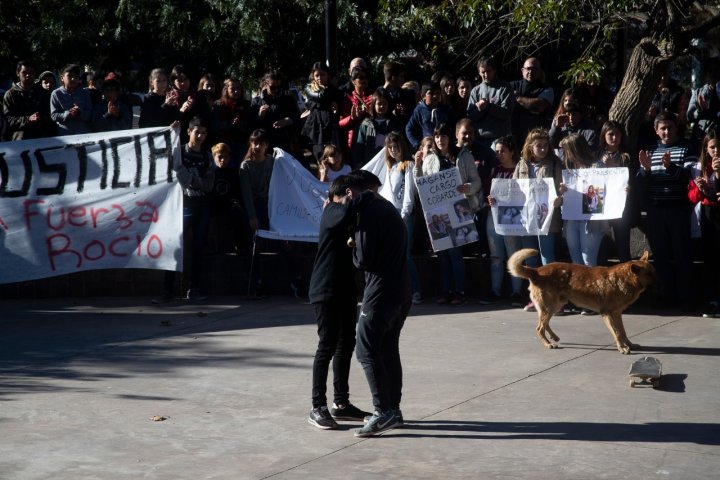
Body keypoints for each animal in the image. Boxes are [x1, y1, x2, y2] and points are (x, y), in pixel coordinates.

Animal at [510, 249, 656, 354]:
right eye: (648, 274)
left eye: (653, 272)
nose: (660, 283)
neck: (622, 279)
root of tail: (536, 270)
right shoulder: (607, 314)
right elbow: (617, 333)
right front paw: (622, 348)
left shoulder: (617, 314)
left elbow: (623, 332)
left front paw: (629, 344)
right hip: (550, 306)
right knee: (539, 328)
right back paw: (548, 344)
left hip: (556, 305)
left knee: (545, 324)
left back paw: (553, 337)